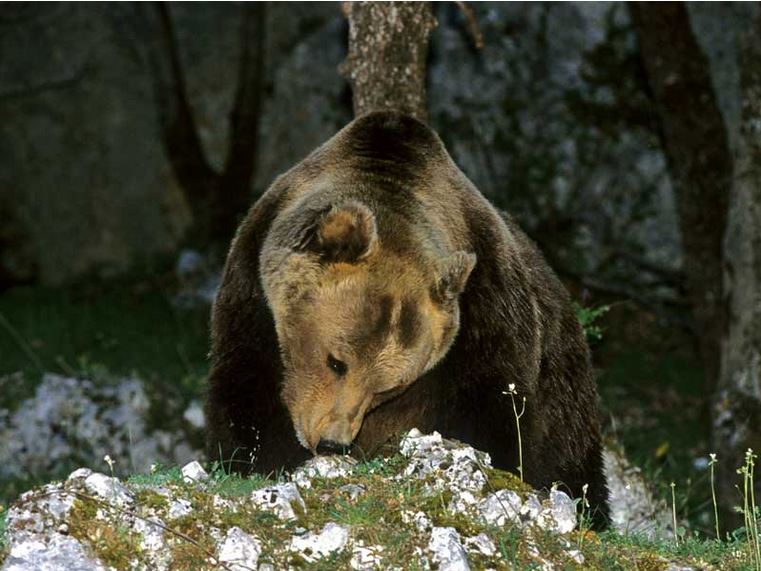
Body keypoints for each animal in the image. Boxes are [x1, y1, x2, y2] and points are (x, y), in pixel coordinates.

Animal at [205, 110, 610, 526]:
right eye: (336, 361)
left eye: (386, 389)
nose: (332, 442)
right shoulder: (253, 290)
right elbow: (248, 388)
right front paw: (258, 460)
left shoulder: (487, 319)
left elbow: (496, 416)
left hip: (561, 382)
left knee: (572, 460)